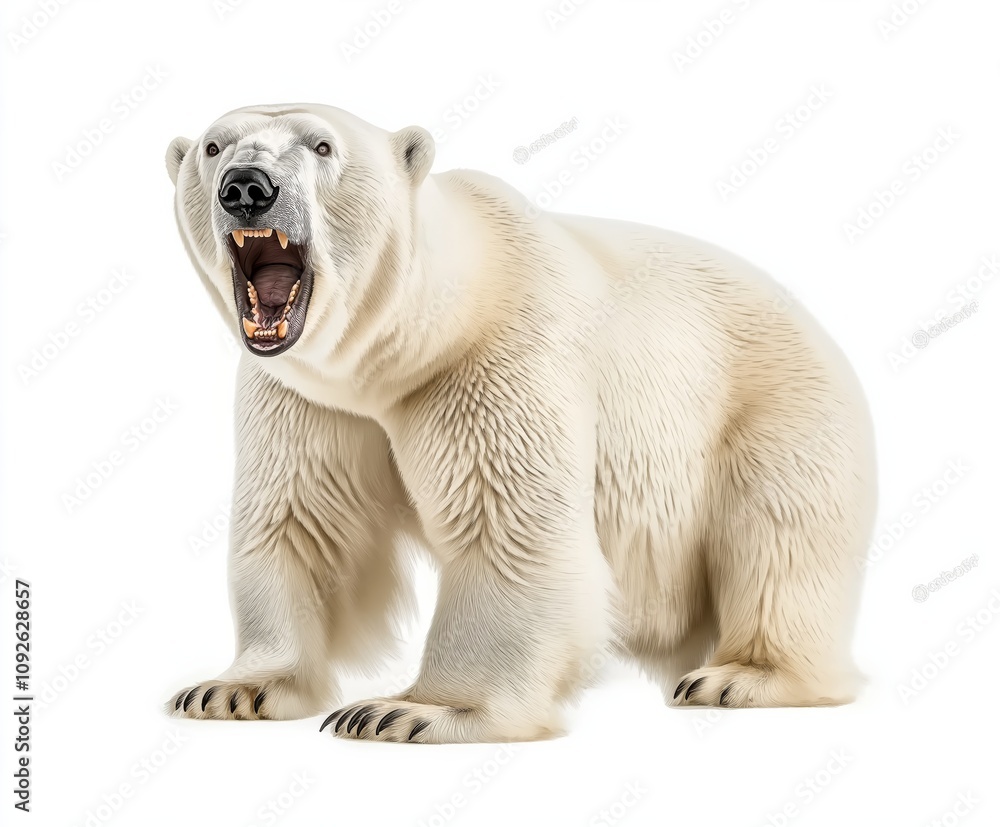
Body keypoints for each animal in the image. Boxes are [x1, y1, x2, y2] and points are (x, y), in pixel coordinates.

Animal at [164, 103, 877, 744]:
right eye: (213, 146)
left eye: (321, 146)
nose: (247, 187)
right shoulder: (308, 394)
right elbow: (298, 520)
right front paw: (233, 689)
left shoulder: (496, 357)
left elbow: (506, 529)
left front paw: (411, 711)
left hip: (773, 408)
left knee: (779, 533)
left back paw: (739, 675)